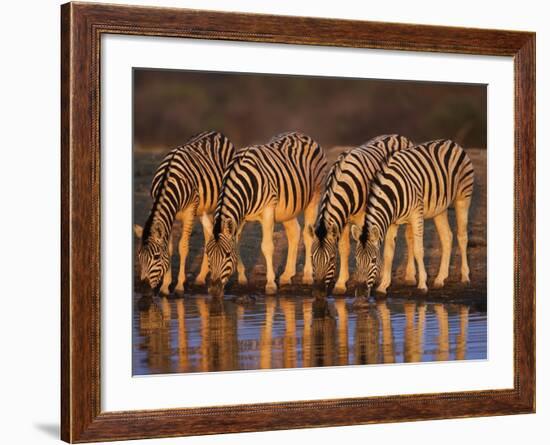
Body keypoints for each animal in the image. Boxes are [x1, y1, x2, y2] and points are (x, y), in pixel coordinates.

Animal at [135, 129, 237, 294]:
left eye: (156, 257)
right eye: (139, 256)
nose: (144, 289)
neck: (168, 181)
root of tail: (214, 131)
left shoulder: (190, 211)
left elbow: (182, 246)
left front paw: (179, 286)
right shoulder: (170, 215)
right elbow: (169, 248)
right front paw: (165, 286)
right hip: (203, 209)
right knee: (209, 235)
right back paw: (201, 278)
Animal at [207, 130, 328, 294]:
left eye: (226, 254)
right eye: (208, 254)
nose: (213, 290)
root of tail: (303, 135)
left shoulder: (268, 210)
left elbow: (267, 246)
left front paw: (270, 284)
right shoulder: (241, 216)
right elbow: (237, 241)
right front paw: (242, 278)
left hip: (314, 197)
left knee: (308, 235)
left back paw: (308, 276)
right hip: (287, 208)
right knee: (294, 233)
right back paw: (287, 275)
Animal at [310, 135, 418, 294]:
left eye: (331, 259)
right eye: (312, 257)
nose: (318, 293)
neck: (346, 183)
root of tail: (399, 136)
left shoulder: (363, 218)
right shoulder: (344, 219)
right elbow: (344, 248)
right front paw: (341, 284)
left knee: (410, 239)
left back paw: (410, 277)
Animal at [352, 138, 476, 298]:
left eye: (373, 260)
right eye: (356, 260)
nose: (361, 293)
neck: (392, 194)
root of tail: (452, 143)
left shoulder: (417, 214)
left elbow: (418, 250)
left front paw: (422, 284)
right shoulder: (392, 221)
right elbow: (388, 253)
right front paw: (383, 286)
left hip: (463, 197)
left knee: (462, 236)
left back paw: (465, 277)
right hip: (440, 209)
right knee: (447, 237)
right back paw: (440, 279)